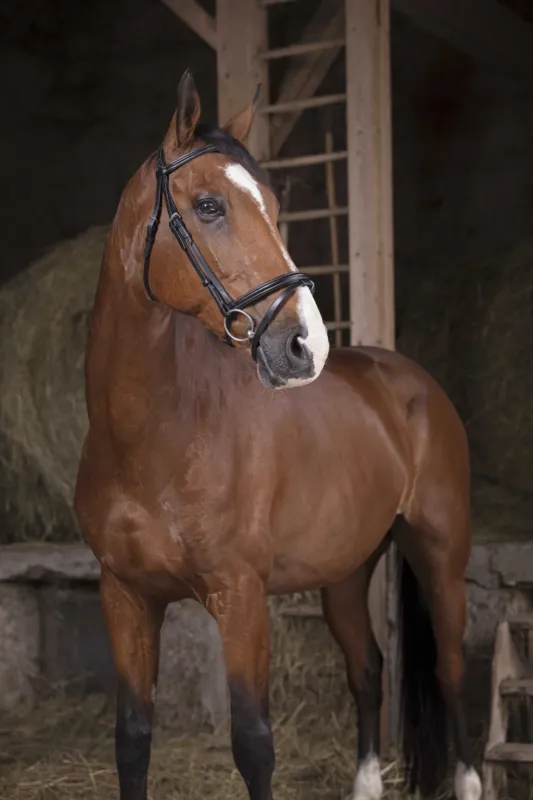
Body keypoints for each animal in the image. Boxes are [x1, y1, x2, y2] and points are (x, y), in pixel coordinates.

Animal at [74, 68, 482, 800]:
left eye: (268, 203)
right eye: (208, 205)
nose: (304, 345)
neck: (153, 439)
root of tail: (408, 380)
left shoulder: (240, 599)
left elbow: (253, 744)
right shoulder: (125, 597)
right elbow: (132, 739)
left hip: (440, 555)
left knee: (448, 670)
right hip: (346, 573)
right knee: (368, 670)